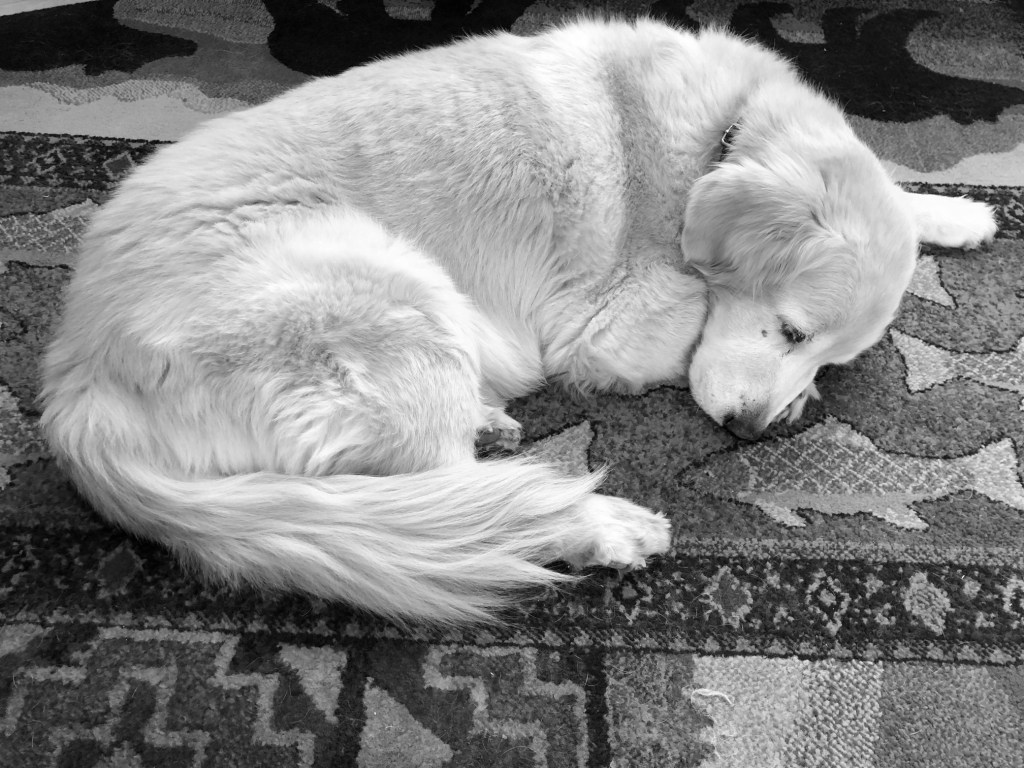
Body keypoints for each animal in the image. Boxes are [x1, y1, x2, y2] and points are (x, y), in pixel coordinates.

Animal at [40, 18, 997, 624]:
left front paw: (953, 212)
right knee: (451, 502)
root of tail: (77, 386)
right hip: (394, 294)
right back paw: (596, 522)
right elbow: (684, 311)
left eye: (829, 359)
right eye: (793, 333)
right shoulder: (605, 325)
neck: (720, 135)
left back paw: (493, 426)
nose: (760, 431)